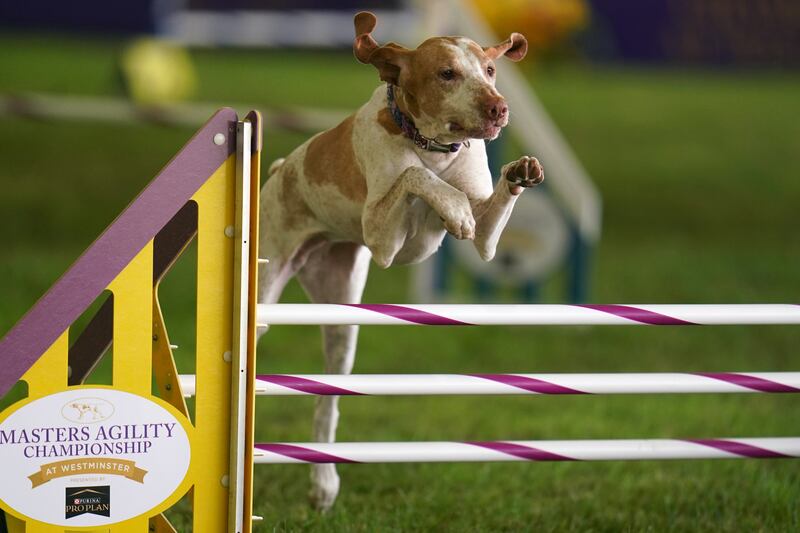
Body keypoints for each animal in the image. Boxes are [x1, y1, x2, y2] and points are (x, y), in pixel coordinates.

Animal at [256, 10, 544, 510]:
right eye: (447, 73)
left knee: (326, 403)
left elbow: (483, 213)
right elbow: (415, 176)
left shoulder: (487, 240)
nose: (499, 108)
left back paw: (324, 485)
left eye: (490, 70)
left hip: (342, 325)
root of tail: (277, 172)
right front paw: (452, 208)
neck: (433, 147)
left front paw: (518, 172)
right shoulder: (383, 239)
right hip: (266, 291)